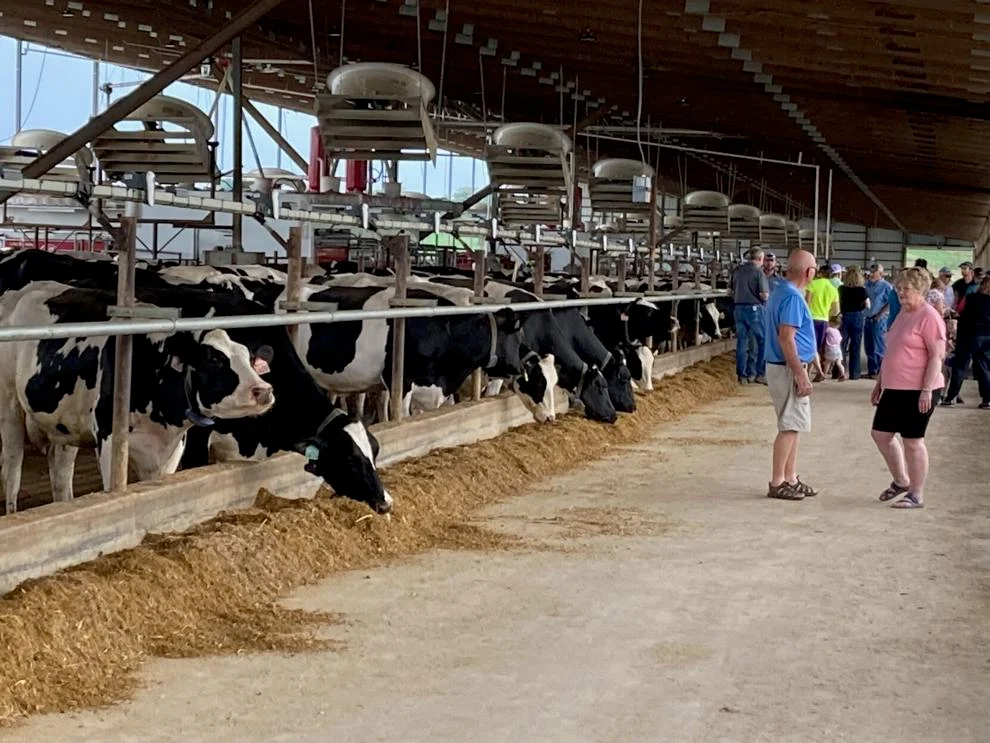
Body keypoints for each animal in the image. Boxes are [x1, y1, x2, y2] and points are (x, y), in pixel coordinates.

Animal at [0, 282, 274, 516]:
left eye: (248, 357)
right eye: (214, 359)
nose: (264, 390)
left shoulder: (171, 448)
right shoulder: (110, 439)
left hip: (65, 424)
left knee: (61, 471)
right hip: (10, 406)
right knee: (12, 467)